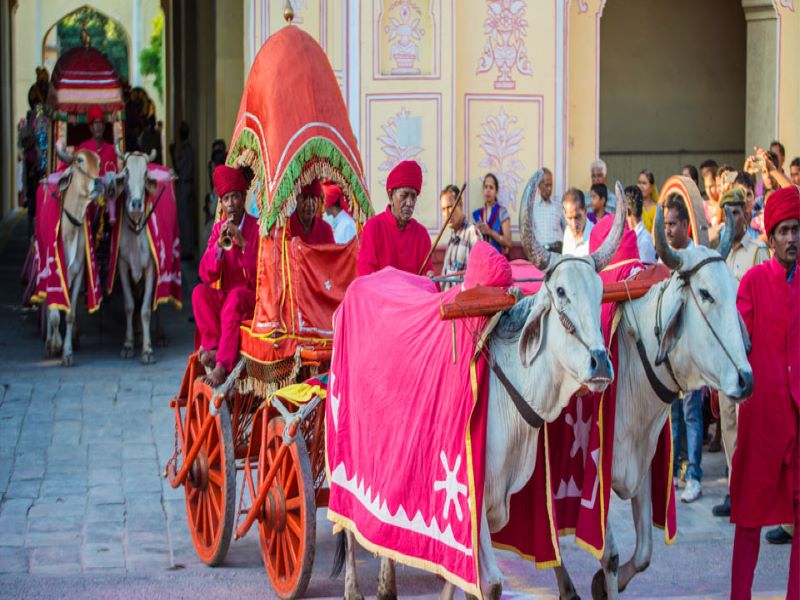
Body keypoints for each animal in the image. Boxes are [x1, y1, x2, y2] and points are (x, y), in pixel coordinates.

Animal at [47, 149, 103, 366]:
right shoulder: (53, 275)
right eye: (80, 160)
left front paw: (68, 352)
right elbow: (54, 312)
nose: (99, 183)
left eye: (99, 162)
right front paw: (55, 345)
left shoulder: (78, 272)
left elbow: (70, 314)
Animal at [340, 173, 628, 600]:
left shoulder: (489, 509)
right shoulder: (469, 506)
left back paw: (386, 584)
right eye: (560, 292)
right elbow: (489, 584)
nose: (601, 362)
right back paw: (354, 587)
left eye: (599, 293)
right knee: (344, 524)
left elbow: (455, 578)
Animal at [552, 204, 752, 596]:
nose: (746, 379)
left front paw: (598, 584)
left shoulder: (644, 469)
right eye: (706, 294)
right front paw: (603, 584)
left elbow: (644, 552)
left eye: (735, 290)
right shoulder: (591, 481)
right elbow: (610, 555)